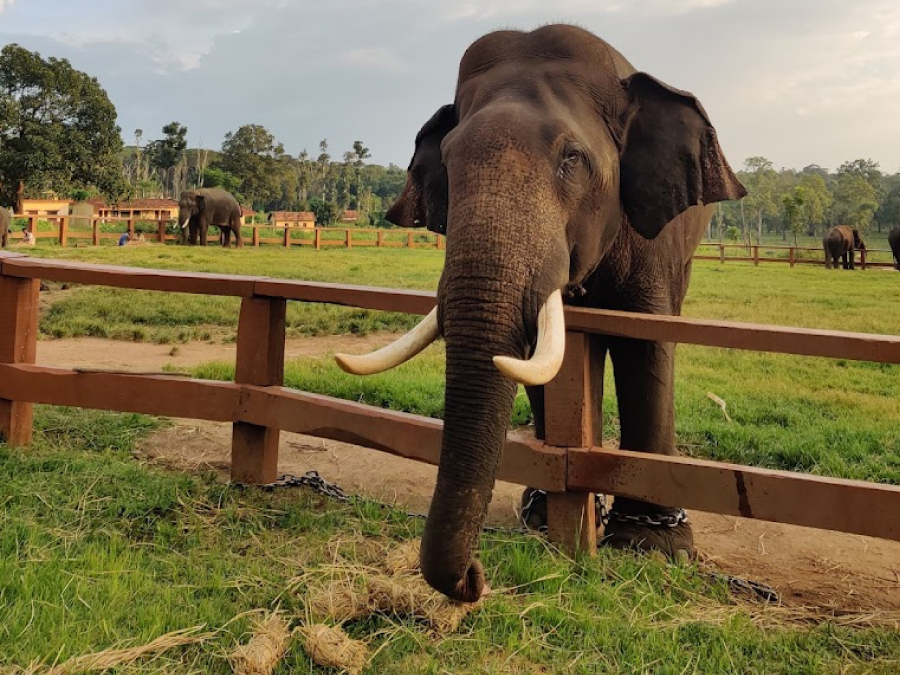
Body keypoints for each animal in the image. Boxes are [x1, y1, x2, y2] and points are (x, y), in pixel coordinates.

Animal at [334, 24, 746, 602]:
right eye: (449, 162)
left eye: (571, 158)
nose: (474, 578)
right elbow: (540, 353)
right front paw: (548, 516)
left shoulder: (653, 234)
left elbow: (643, 341)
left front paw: (653, 549)